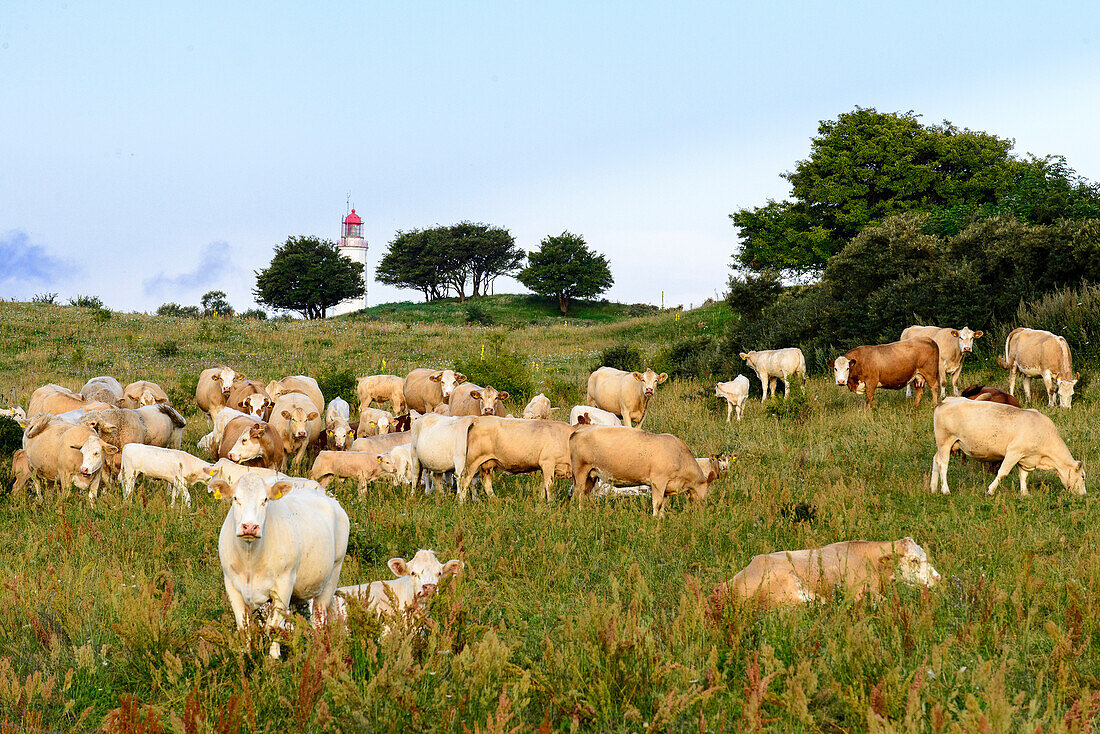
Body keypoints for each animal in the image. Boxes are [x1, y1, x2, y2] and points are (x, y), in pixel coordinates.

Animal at [212, 477, 349, 660]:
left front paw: (274, 658)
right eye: (235, 498)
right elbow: (243, 626)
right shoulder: (231, 584)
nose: (250, 527)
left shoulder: (284, 584)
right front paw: (245, 655)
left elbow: (273, 626)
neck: (250, 557)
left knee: (318, 620)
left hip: (333, 574)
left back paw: (316, 649)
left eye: (265, 499)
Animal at [572, 424, 717, 517]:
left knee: (584, 494)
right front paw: (655, 519)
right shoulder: (658, 481)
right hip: (580, 471)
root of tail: (580, 429)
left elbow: (663, 504)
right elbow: (657, 504)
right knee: (578, 493)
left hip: (591, 475)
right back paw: (579, 512)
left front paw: (661, 519)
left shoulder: (666, 487)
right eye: (705, 495)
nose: (702, 512)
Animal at [928, 398, 1082, 497]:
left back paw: (933, 488)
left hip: (946, 445)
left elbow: (1023, 475)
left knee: (935, 459)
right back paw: (945, 490)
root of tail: (946, 400)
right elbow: (1002, 472)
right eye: (1083, 476)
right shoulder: (1013, 452)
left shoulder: (1025, 457)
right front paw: (990, 491)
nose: (1084, 494)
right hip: (945, 441)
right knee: (943, 464)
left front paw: (1025, 493)